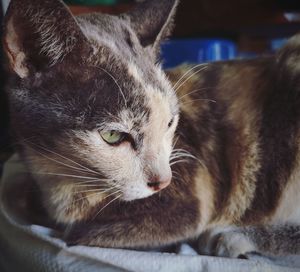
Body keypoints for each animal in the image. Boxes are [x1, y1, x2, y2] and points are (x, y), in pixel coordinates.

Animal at [3, 0, 300, 258]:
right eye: (113, 135)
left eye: (169, 123)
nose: (163, 181)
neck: (59, 177)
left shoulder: (191, 200)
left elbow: (73, 235)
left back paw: (234, 237)